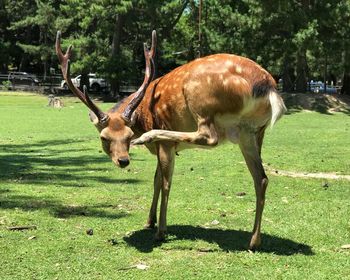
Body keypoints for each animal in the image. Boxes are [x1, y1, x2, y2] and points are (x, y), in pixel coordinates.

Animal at [56, 29, 286, 250]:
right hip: (253, 132)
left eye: (128, 136)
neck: (143, 116)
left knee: (209, 137)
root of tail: (268, 86)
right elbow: (156, 180)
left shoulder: (165, 146)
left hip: (202, 102)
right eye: (105, 138)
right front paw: (149, 221)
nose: (123, 160)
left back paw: (151, 135)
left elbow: (165, 182)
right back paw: (254, 241)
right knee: (261, 178)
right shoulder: (160, 149)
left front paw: (161, 230)